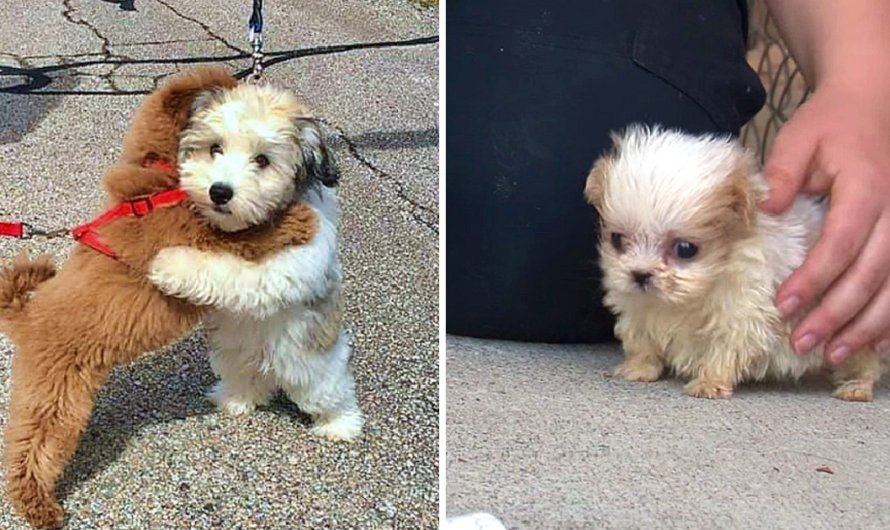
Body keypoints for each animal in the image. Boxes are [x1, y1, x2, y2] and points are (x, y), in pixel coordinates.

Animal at [0, 68, 326, 524]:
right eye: (216, 145)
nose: (220, 190)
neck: (156, 183)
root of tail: (25, 316)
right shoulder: (202, 233)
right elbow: (250, 233)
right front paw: (297, 219)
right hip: (55, 396)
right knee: (31, 449)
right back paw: (38, 505)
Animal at [147, 80, 362, 440]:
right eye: (215, 148)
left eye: (262, 159)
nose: (219, 191)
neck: (254, 226)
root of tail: (270, 365)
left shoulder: (287, 264)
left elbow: (230, 271)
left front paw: (170, 264)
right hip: (234, 355)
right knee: (247, 380)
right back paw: (235, 399)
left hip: (315, 366)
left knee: (330, 392)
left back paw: (340, 424)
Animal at [584, 124, 880, 400]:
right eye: (617, 239)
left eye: (685, 249)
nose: (640, 274)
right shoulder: (638, 308)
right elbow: (641, 340)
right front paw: (639, 368)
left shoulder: (742, 314)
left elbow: (724, 349)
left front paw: (709, 382)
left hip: (850, 334)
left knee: (864, 362)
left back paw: (856, 387)